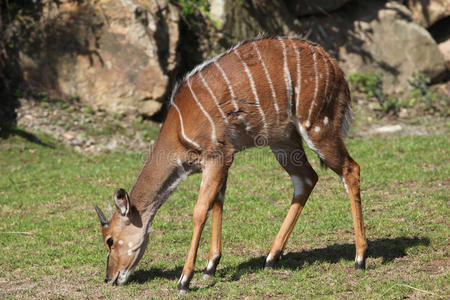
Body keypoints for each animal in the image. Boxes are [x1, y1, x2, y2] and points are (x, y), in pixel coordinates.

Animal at [94, 35, 366, 292]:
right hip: (283, 140)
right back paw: (271, 257)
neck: (179, 131)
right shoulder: (225, 158)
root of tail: (335, 67)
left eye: (110, 240)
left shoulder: (216, 155)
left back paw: (360, 258)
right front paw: (210, 266)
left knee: (350, 169)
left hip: (318, 126)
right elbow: (218, 202)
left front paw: (185, 279)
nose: (110, 277)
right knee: (306, 178)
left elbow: (200, 211)